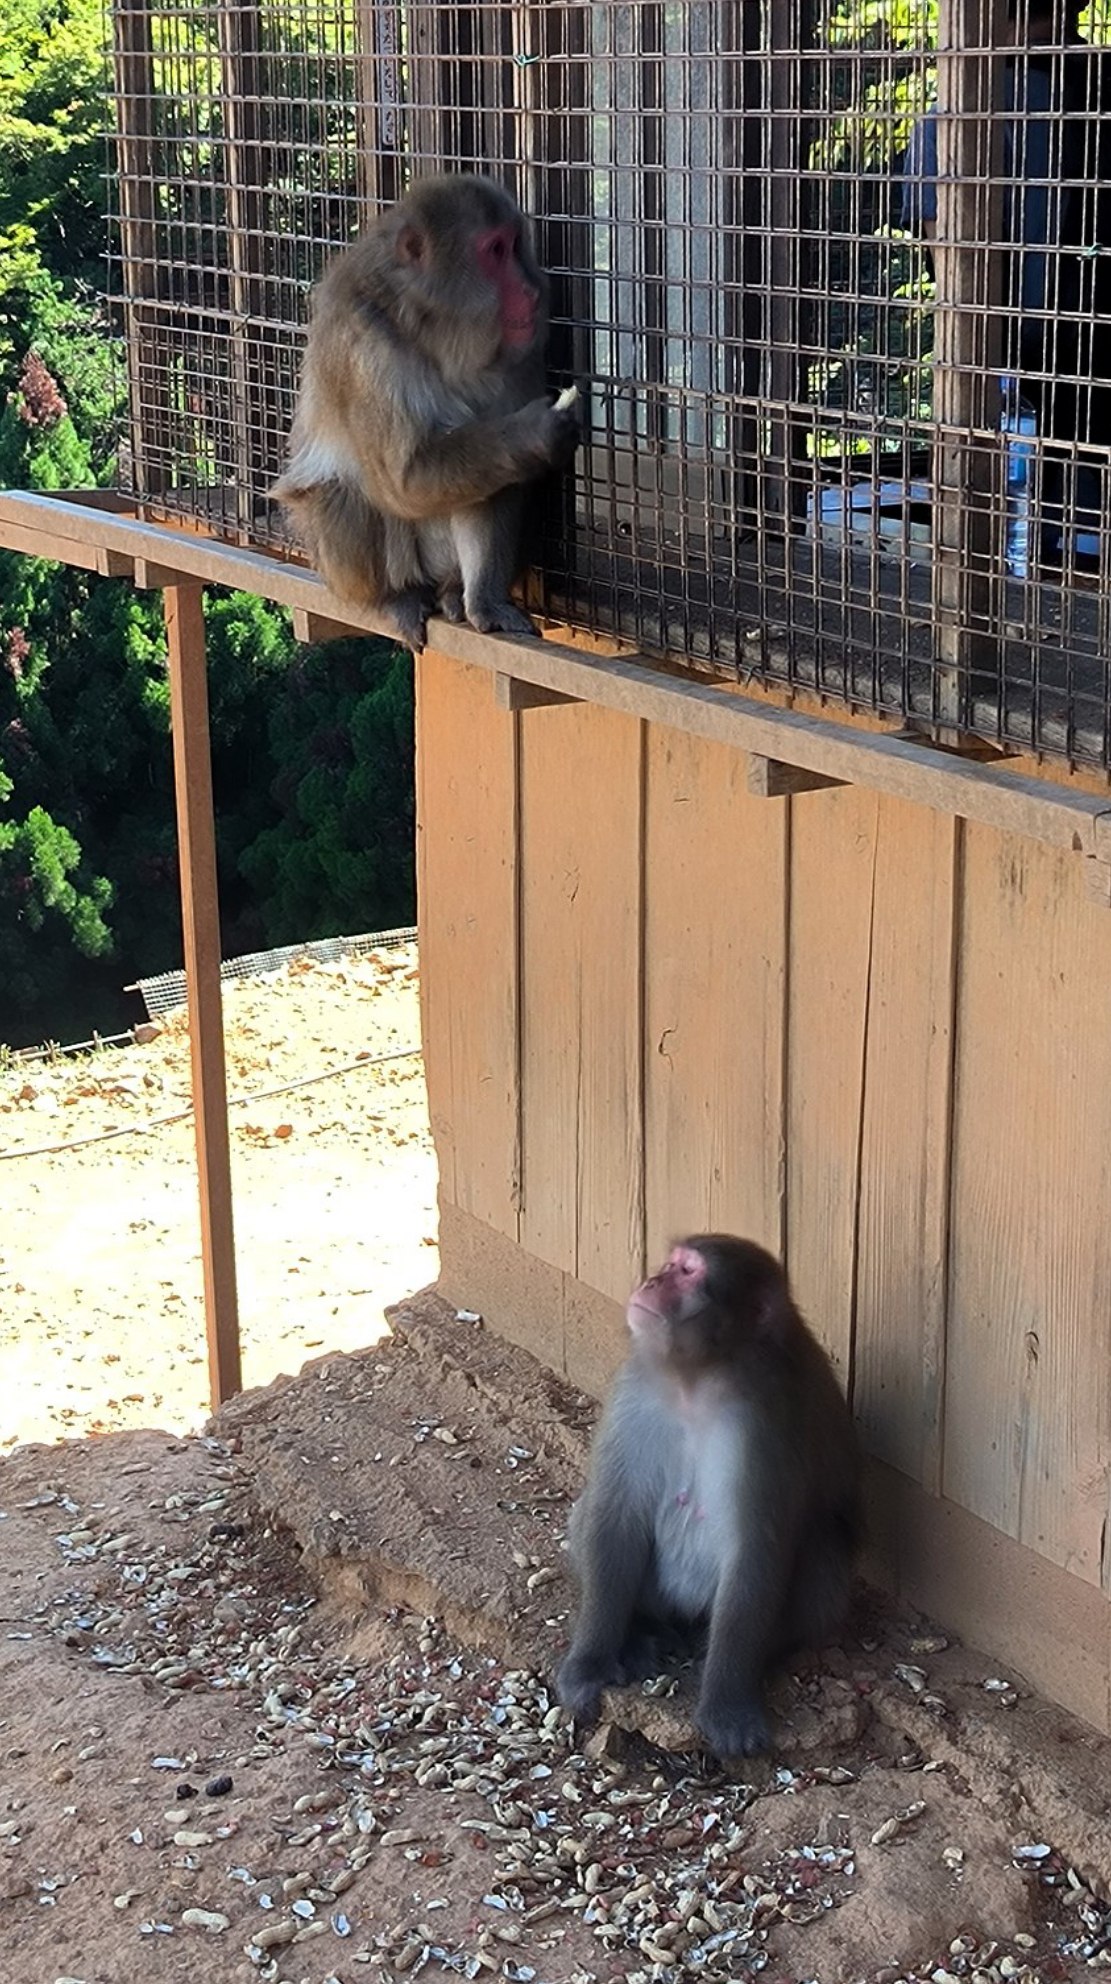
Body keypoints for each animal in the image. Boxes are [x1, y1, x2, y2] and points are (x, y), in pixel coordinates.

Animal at [273, 174, 581, 650]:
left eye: (515, 244)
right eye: (495, 250)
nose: (532, 291)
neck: (434, 333)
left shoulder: (519, 354)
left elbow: (495, 486)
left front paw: (484, 601)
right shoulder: (361, 348)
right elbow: (402, 481)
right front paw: (534, 435)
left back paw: (455, 589)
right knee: (345, 493)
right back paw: (393, 597)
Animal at [556, 1235, 861, 1759]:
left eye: (687, 1272)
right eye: (671, 1263)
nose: (651, 1280)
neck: (695, 1381)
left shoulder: (765, 1422)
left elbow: (755, 1549)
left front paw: (727, 1703)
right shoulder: (635, 1390)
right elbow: (615, 1514)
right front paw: (590, 1663)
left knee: (827, 1545)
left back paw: (772, 1648)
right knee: (589, 1510)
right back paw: (643, 1630)